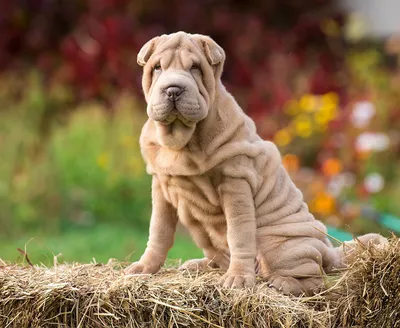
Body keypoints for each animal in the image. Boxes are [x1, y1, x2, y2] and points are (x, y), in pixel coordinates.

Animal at [126, 32, 388, 296]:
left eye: (195, 68)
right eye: (157, 67)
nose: (173, 90)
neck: (181, 141)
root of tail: (330, 250)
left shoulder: (235, 181)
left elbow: (239, 234)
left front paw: (238, 279)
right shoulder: (160, 186)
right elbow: (158, 231)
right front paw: (143, 267)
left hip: (279, 246)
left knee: (312, 279)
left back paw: (282, 283)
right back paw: (198, 265)